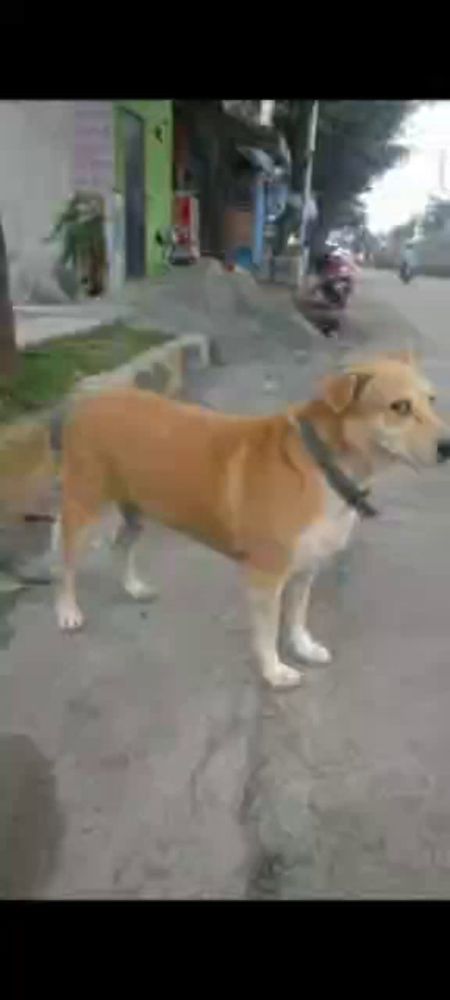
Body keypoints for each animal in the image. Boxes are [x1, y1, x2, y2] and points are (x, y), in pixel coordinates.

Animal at [53, 352, 450, 688]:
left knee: (121, 543)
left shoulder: (306, 567)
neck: (321, 465)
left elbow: (297, 615)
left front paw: (302, 646)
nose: (448, 447)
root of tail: (92, 400)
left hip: (137, 507)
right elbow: (268, 629)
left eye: (432, 400)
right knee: (67, 564)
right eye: (399, 407)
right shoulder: (266, 575)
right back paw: (68, 611)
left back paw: (133, 586)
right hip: (84, 507)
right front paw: (274, 671)